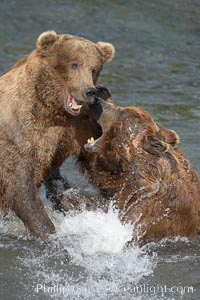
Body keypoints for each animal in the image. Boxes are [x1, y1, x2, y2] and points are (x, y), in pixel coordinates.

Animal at [0, 31, 115, 239]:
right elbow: (22, 187)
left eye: (94, 68)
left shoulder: (73, 128)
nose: (90, 91)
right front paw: (46, 230)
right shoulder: (16, 134)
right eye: (75, 63)